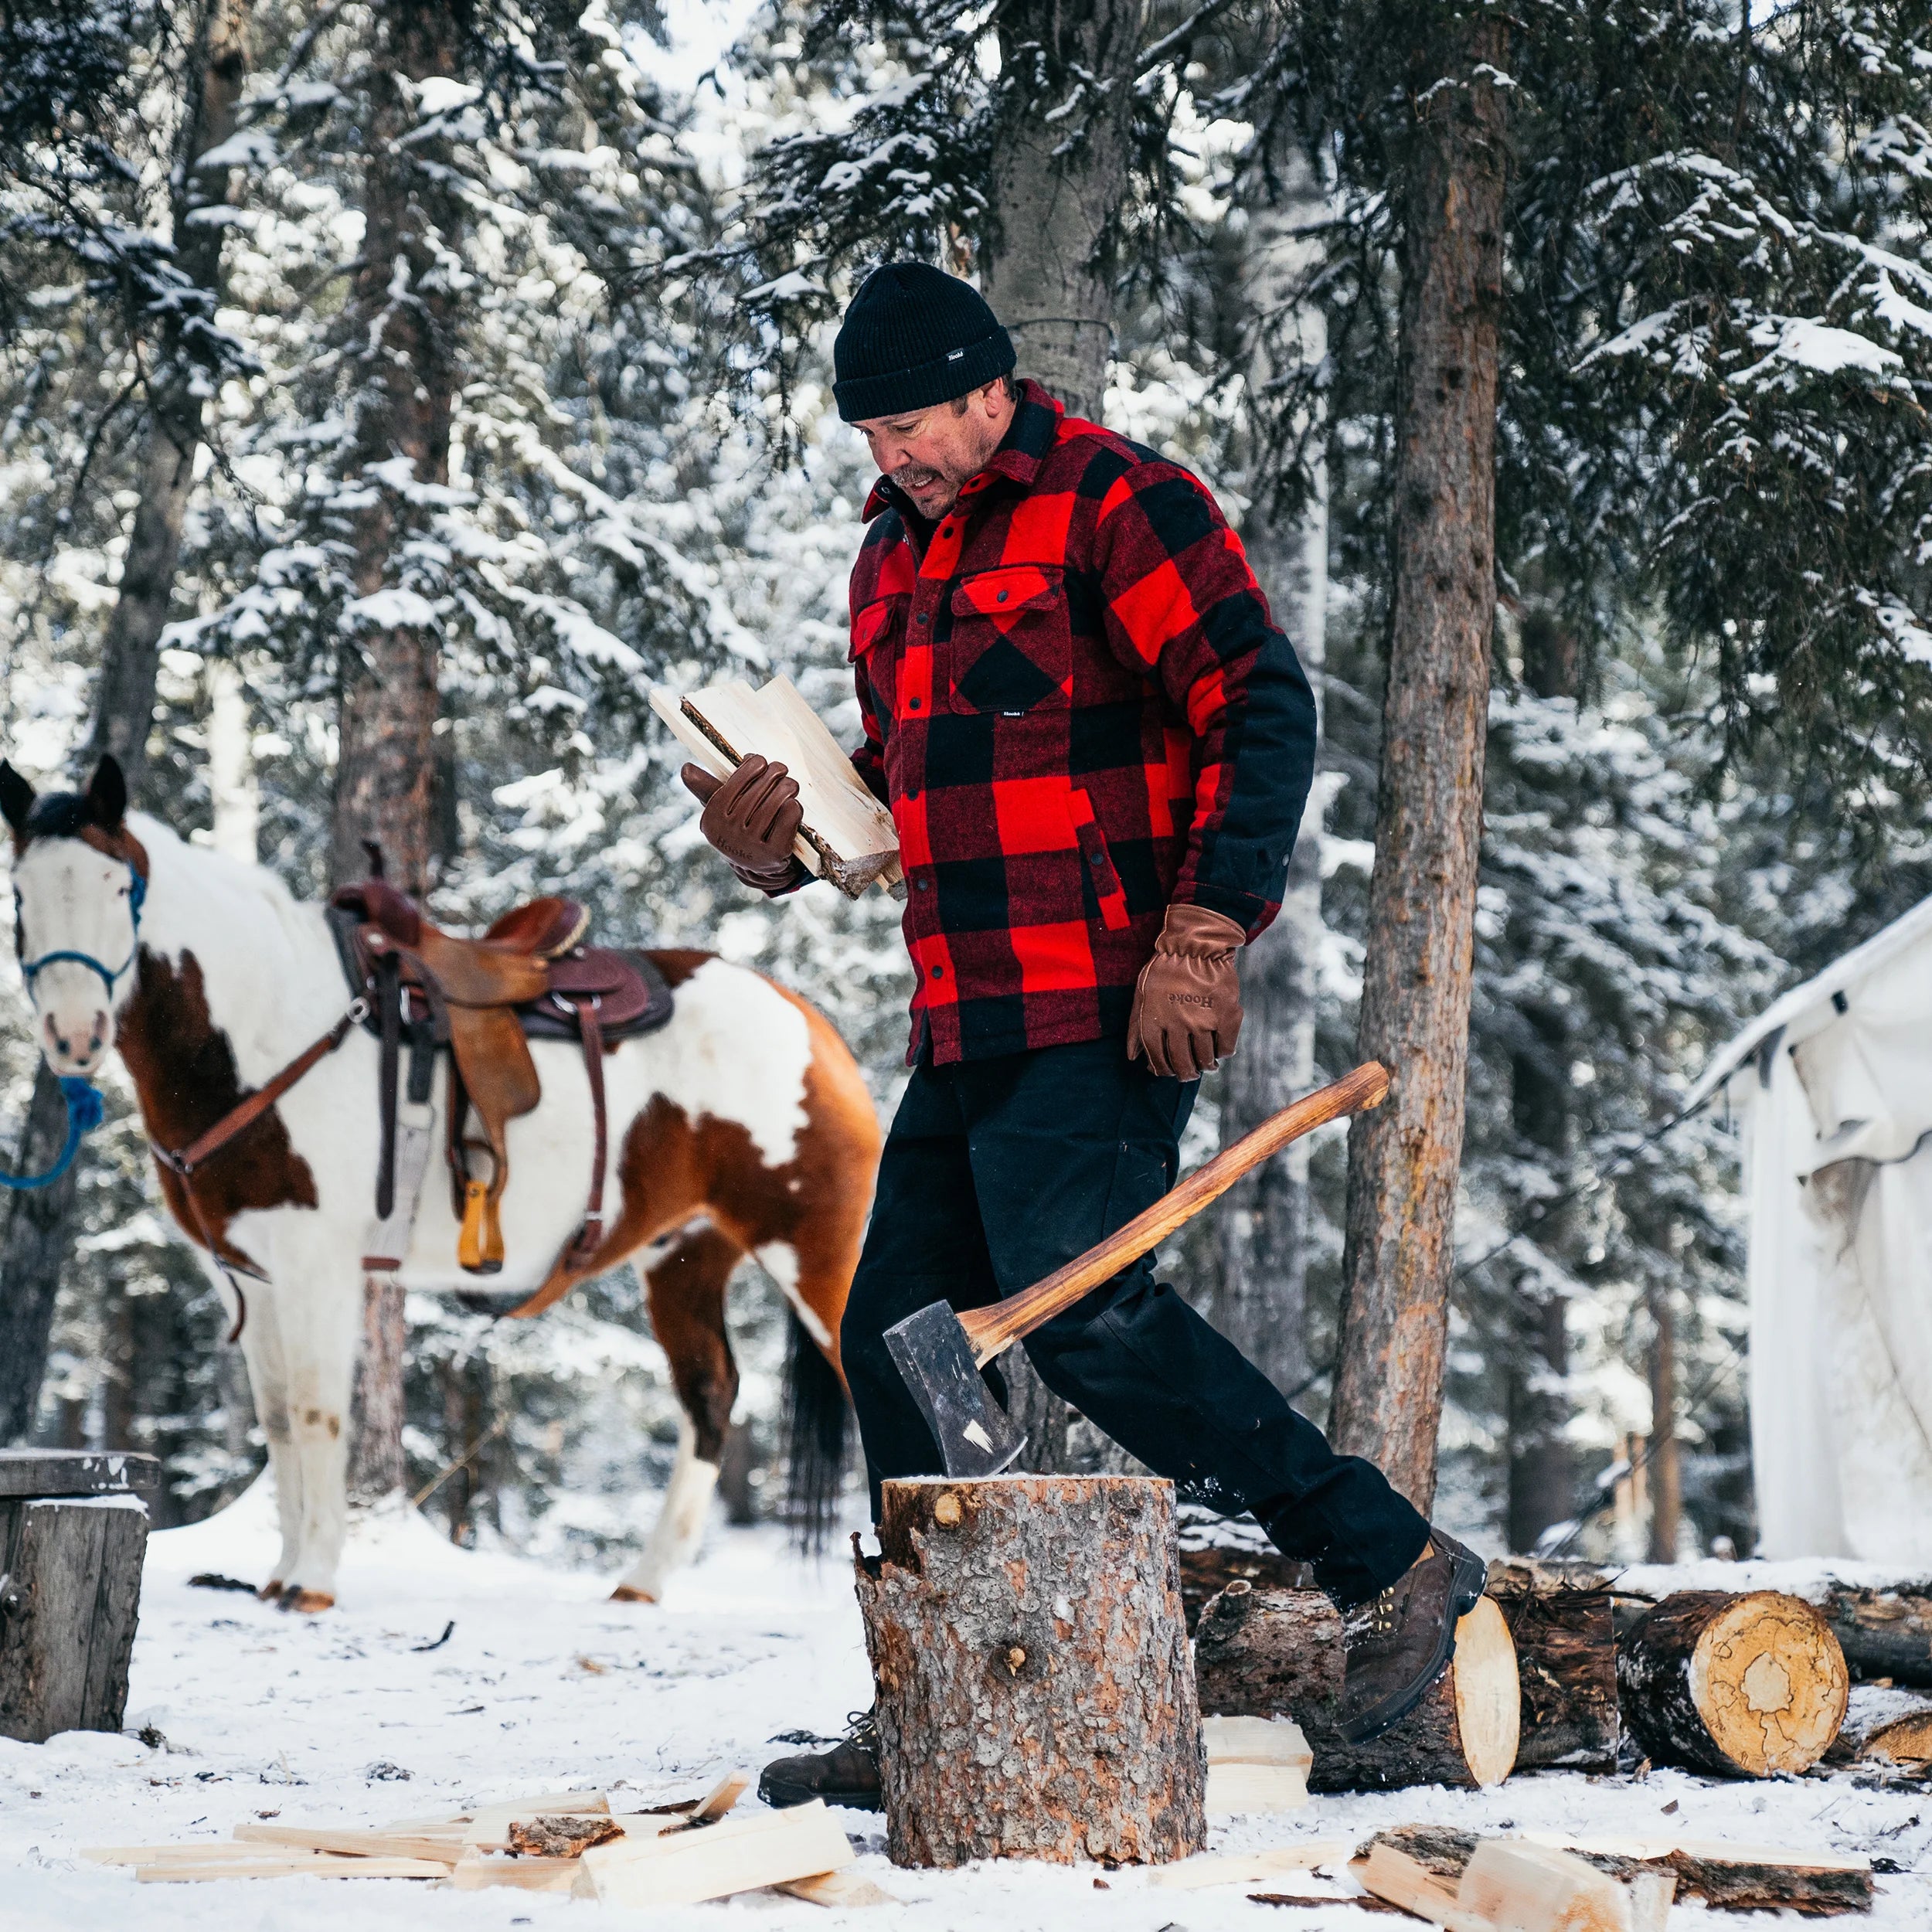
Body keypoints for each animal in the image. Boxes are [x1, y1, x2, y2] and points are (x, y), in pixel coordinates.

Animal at [3, 761, 881, 1607]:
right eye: (21, 893)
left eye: (118, 886)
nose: (74, 1034)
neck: (270, 1029)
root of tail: (810, 1023)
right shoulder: (246, 1276)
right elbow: (279, 1422)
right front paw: (281, 1572)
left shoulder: (318, 1265)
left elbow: (318, 1414)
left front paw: (313, 1582)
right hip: (683, 1258)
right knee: (709, 1401)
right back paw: (645, 1581)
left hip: (814, 1248)